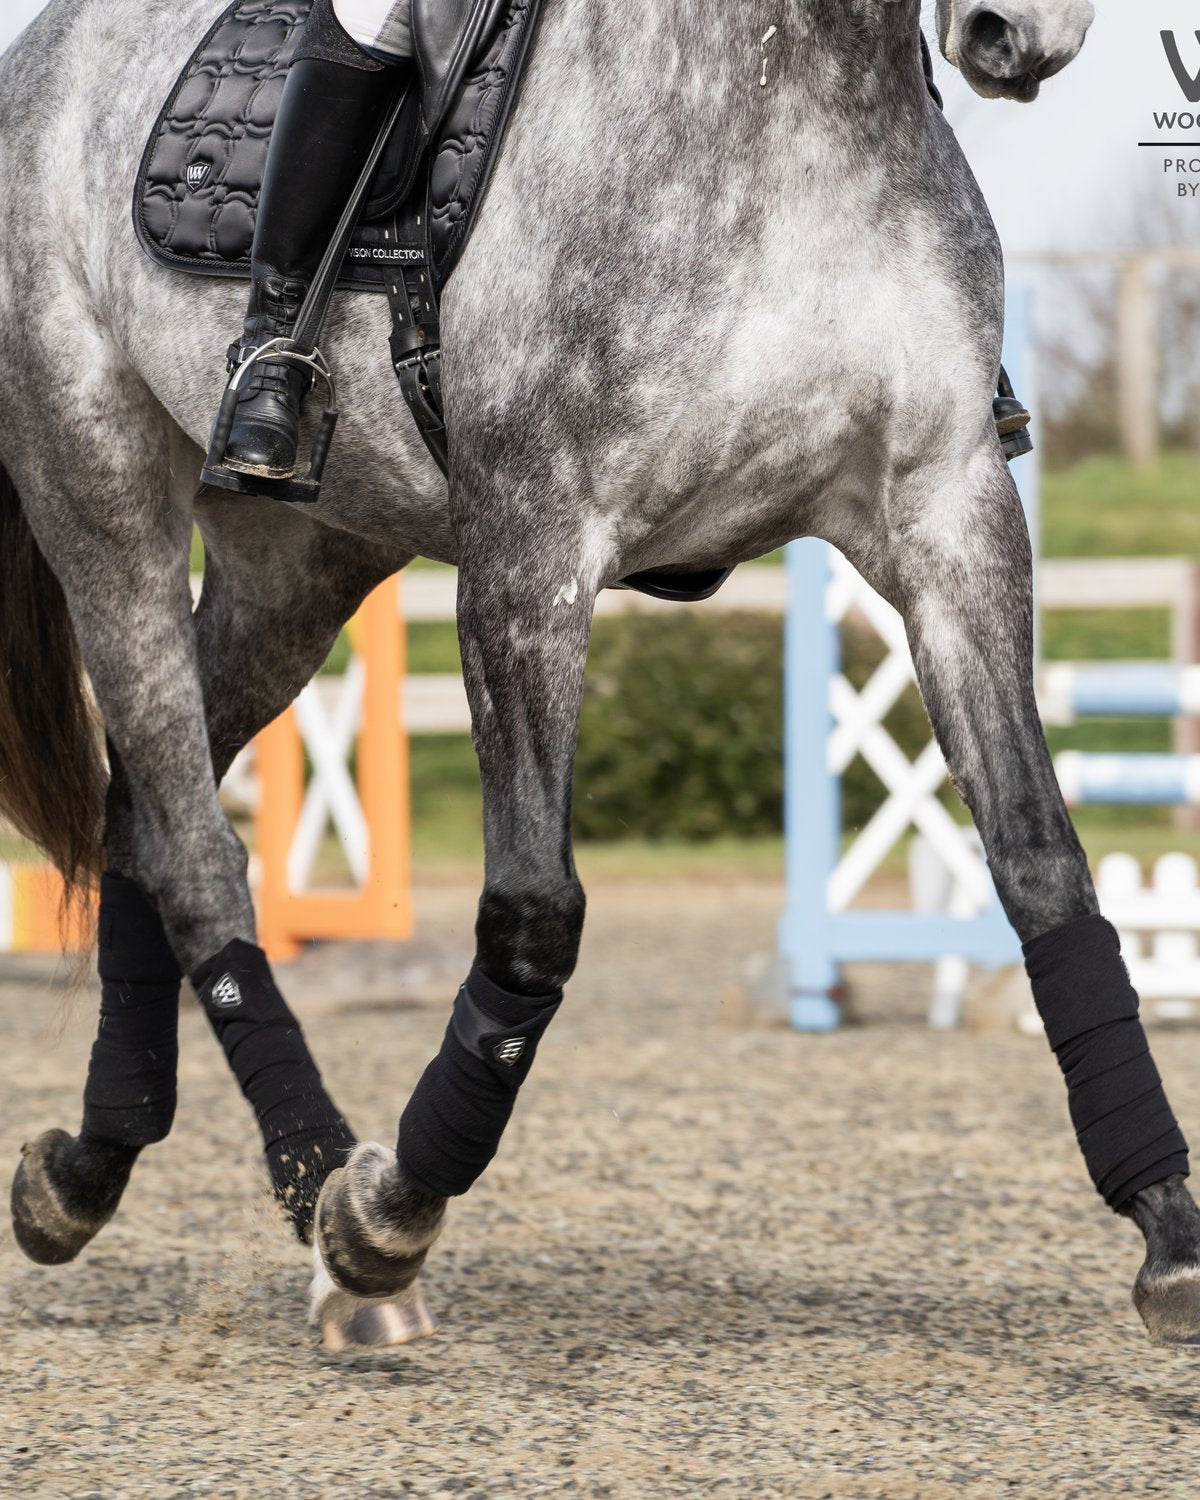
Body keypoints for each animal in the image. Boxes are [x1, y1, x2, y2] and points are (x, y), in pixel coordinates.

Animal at [7, 0, 1197, 1353]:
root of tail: (37, 53)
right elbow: (535, 915)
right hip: (100, 499)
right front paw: (386, 1213)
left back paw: (86, 1169)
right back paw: (318, 1184)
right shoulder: (531, 547)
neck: (790, 100)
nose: (1017, 39)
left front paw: (1167, 1226)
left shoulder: (949, 516)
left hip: (296, 568)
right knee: (200, 855)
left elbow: (1045, 868)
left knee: (145, 819)